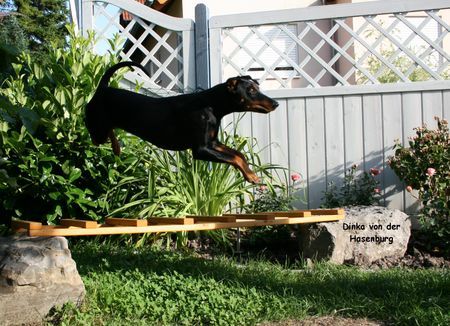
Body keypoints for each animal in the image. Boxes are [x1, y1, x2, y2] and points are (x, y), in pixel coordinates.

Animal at [85, 61, 278, 183]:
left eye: (257, 87)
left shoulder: (212, 143)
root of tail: (102, 89)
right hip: (97, 127)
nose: (276, 103)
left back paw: (116, 147)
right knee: (95, 136)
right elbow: (233, 158)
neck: (211, 105)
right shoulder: (201, 149)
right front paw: (251, 177)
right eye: (251, 90)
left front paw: (250, 174)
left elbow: (239, 155)